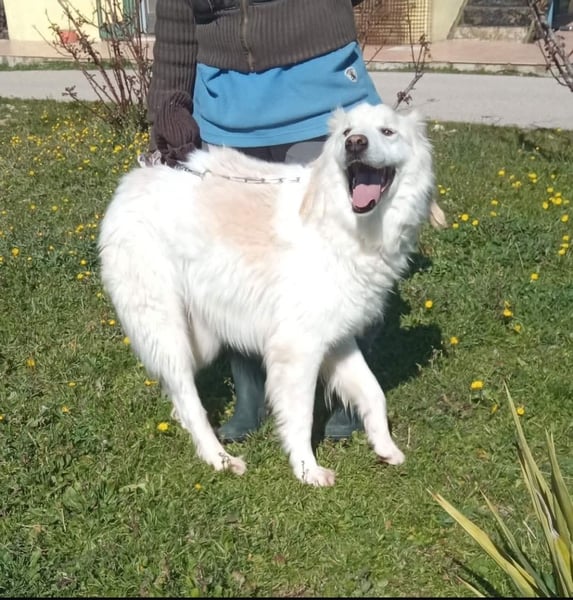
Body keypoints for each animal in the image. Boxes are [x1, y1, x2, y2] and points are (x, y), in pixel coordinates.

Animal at [98, 102, 435, 486]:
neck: (344, 225)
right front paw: (306, 470)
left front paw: (385, 447)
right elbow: (301, 417)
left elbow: (373, 392)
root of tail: (136, 178)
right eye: (348, 132)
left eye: (387, 132)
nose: (355, 144)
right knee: (189, 398)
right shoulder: (297, 349)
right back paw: (220, 458)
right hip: (167, 329)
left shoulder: (336, 339)